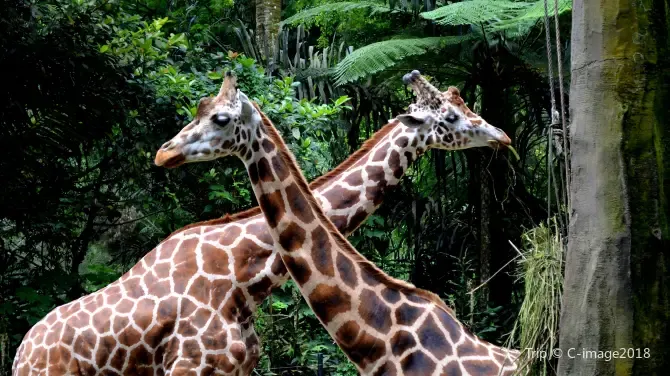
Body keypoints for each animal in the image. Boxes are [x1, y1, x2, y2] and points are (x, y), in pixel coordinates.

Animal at [9, 70, 516, 374]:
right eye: (453, 116)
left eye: (465, 109)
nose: (503, 136)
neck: (243, 272)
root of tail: (21, 351)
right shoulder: (190, 366)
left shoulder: (239, 365)